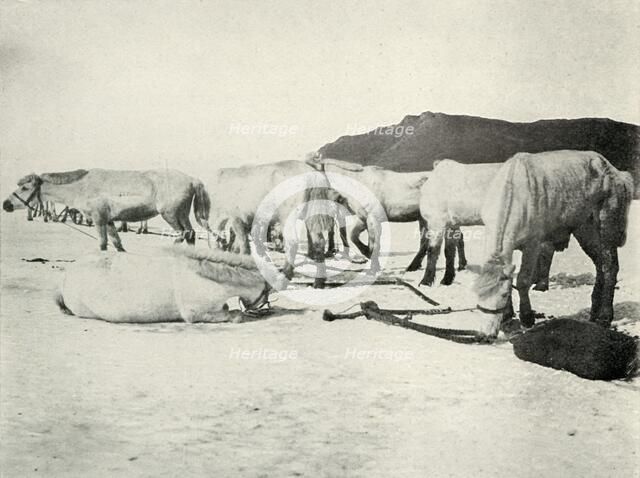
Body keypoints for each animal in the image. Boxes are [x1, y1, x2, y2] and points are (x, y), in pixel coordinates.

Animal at [3, 169, 210, 251]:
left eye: (24, 188)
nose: (6, 204)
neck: (83, 186)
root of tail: (192, 179)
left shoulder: (98, 219)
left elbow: (102, 244)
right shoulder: (109, 221)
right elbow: (117, 245)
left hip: (171, 215)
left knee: (184, 234)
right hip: (181, 214)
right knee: (190, 234)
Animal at [474, 150, 633, 337]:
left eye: (501, 296)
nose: (486, 333)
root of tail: (612, 169)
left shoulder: (533, 243)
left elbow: (523, 280)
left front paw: (527, 317)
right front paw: (508, 316)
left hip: (607, 225)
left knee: (610, 267)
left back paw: (605, 317)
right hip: (585, 230)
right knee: (600, 265)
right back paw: (594, 312)